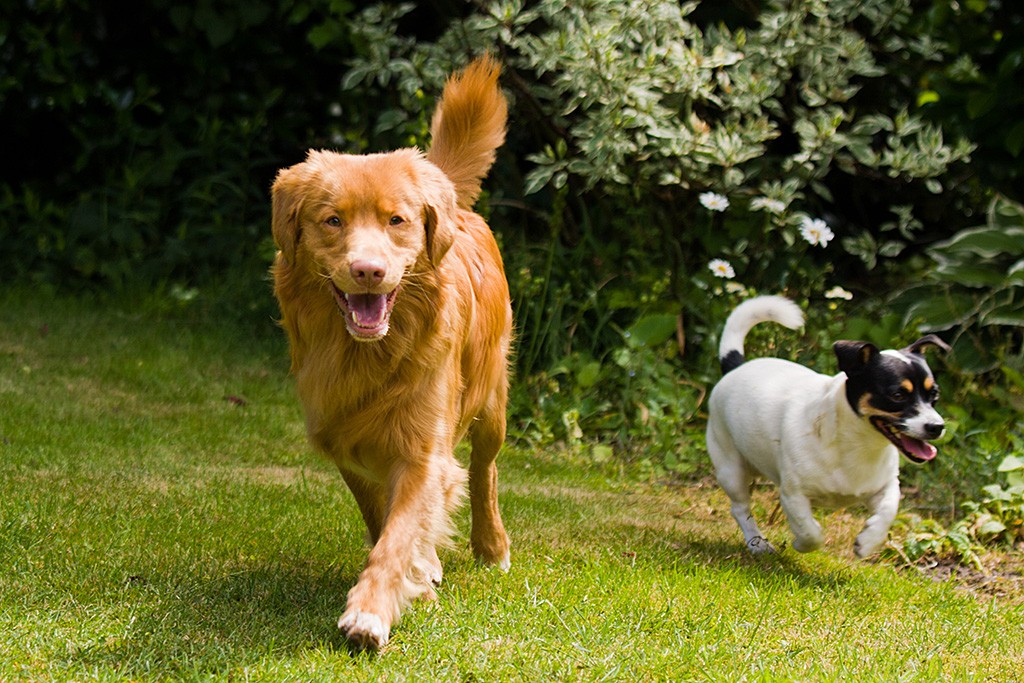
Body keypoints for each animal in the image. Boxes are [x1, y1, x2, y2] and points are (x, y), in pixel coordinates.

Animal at [272, 56, 512, 651]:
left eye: (396, 220)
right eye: (332, 220)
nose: (367, 271)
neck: (367, 355)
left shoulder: (423, 449)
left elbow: (399, 532)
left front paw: (371, 610)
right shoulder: (341, 439)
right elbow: (383, 521)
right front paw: (416, 578)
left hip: (493, 401)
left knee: (484, 471)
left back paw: (491, 545)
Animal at [708, 296, 946, 557]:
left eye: (934, 394)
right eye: (897, 395)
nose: (937, 426)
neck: (857, 445)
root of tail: (735, 367)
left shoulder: (886, 486)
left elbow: (888, 511)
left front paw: (868, 541)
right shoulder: (793, 495)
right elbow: (810, 532)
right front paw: (801, 544)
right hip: (731, 469)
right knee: (740, 508)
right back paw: (757, 542)